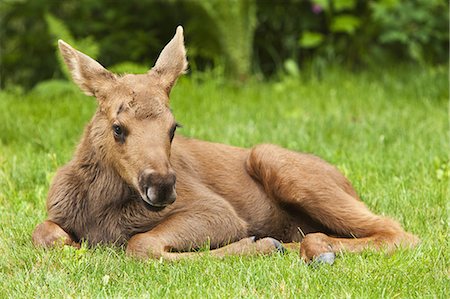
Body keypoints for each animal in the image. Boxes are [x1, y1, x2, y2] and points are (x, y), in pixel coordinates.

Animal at [31, 27, 418, 262]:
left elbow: (141, 243)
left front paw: (256, 244)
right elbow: (43, 233)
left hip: (272, 158)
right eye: (117, 128)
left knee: (398, 230)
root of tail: (347, 182)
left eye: (173, 127)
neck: (101, 206)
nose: (162, 185)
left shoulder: (217, 211)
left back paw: (312, 248)